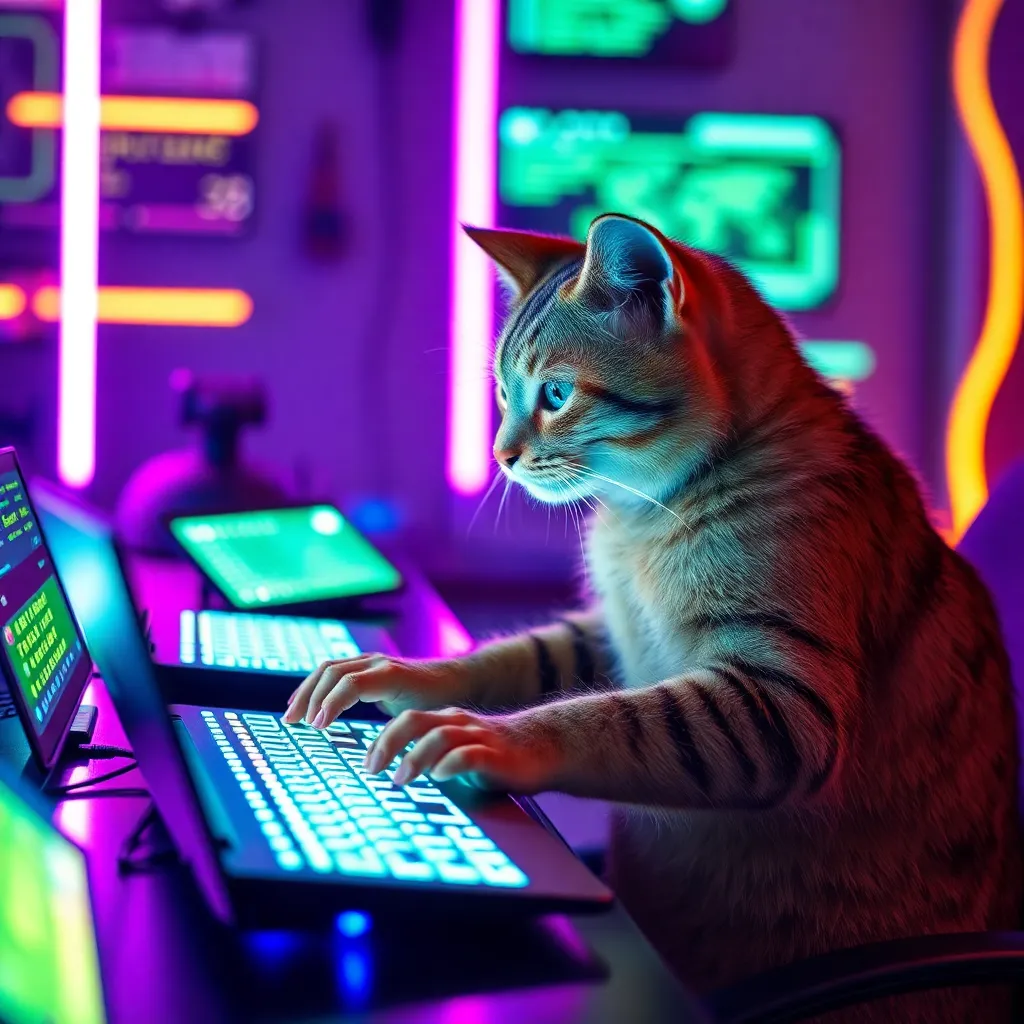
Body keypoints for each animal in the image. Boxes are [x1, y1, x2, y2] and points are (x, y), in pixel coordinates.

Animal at [288, 211, 1024, 1019]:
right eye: (502, 394)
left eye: (554, 394)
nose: (500, 455)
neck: (642, 516)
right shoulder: (605, 637)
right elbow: (516, 656)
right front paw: (409, 672)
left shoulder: (783, 704)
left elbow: (611, 718)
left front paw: (489, 736)